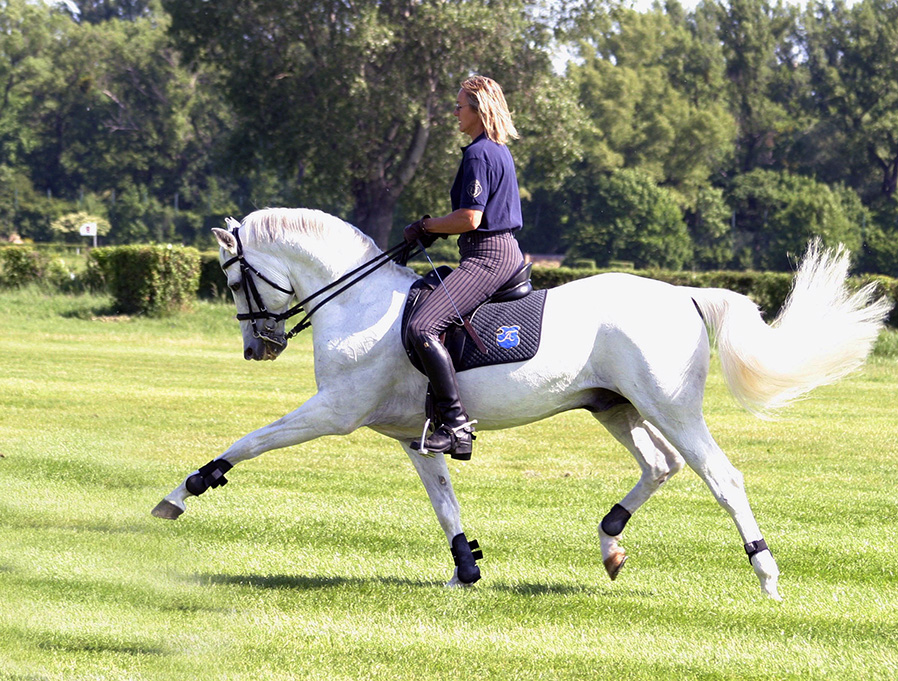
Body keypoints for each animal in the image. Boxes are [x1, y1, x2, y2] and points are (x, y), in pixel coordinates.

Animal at [152, 206, 888, 596]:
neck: (357, 303)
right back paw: (610, 542)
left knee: (720, 475)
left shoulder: (332, 413)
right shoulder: (413, 435)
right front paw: (466, 569)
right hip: (614, 405)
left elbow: (250, 441)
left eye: (233, 279)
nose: (259, 347)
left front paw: (185, 489)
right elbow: (444, 500)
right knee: (661, 465)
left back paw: (765, 573)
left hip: (670, 406)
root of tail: (682, 292)